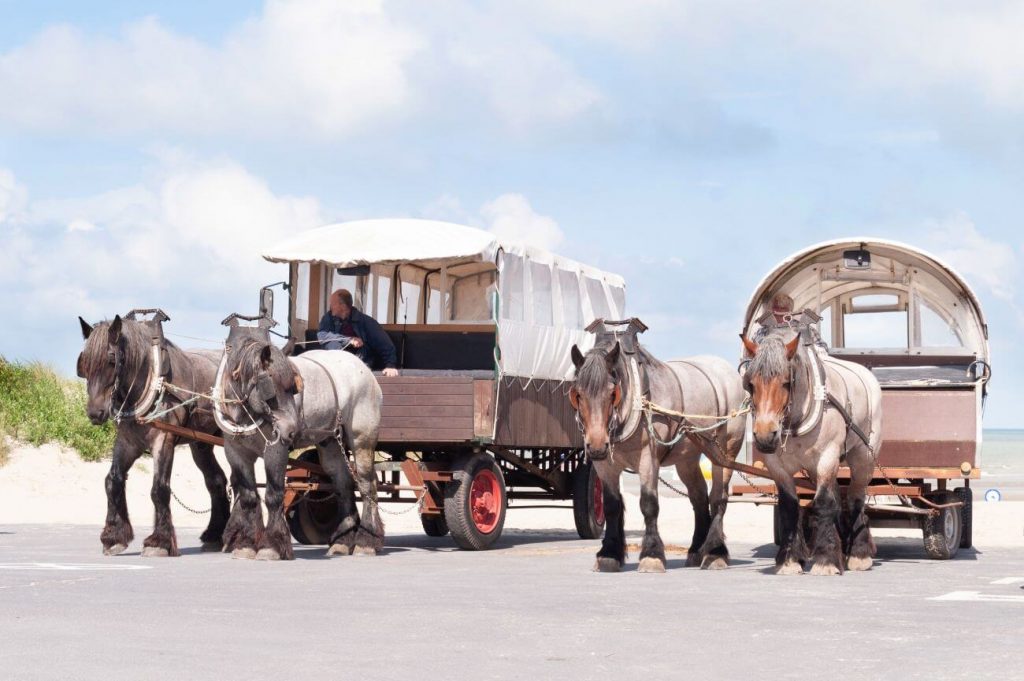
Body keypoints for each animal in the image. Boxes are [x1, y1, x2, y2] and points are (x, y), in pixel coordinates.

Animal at [76, 311, 229, 557]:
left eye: (112, 360)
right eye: (84, 363)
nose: (95, 413)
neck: (153, 381)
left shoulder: (163, 440)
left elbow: (159, 488)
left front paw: (159, 542)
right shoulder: (127, 442)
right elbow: (113, 480)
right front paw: (114, 536)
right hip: (201, 445)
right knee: (216, 480)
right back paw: (215, 534)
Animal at [214, 321, 382, 561]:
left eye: (294, 388)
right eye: (270, 390)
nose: (292, 432)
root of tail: (364, 368)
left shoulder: (276, 449)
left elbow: (273, 495)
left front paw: (271, 546)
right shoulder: (236, 452)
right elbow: (248, 497)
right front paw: (245, 545)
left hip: (361, 438)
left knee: (368, 484)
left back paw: (366, 542)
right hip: (330, 441)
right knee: (343, 482)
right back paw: (342, 541)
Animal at [569, 321, 745, 569]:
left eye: (613, 393)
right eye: (577, 394)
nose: (596, 445)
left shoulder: (648, 459)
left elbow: (649, 504)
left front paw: (652, 555)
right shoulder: (604, 465)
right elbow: (612, 505)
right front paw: (609, 554)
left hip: (726, 450)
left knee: (718, 497)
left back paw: (714, 552)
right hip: (687, 458)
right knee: (699, 497)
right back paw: (696, 550)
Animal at [741, 323, 884, 573]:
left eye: (786, 382)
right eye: (750, 383)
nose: (766, 436)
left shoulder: (827, 456)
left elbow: (824, 503)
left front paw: (825, 560)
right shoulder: (777, 466)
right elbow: (790, 507)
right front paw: (790, 560)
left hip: (863, 456)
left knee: (855, 498)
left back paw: (859, 554)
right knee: (838, 499)